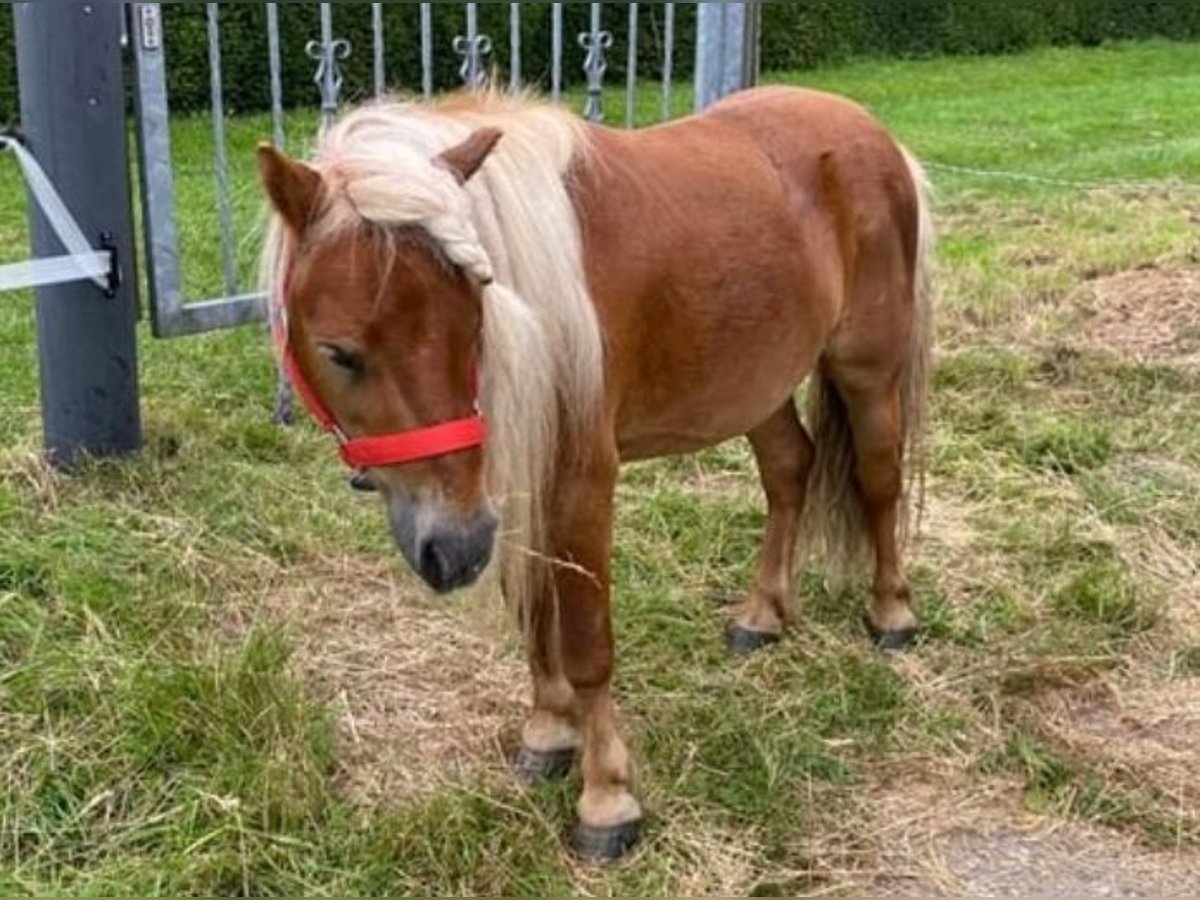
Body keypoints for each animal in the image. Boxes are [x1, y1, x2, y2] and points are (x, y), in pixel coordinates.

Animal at [260, 86, 936, 868]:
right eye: (339, 351)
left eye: (475, 323)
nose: (453, 550)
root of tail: (869, 132)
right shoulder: (514, 489)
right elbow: (534, 617)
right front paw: (548, 733)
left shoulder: (578, 485)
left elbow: (585, 644)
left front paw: (606, 797)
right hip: (756, 385)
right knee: (789, 472)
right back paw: (761, 615)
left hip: (868, 373)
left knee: (878, 480)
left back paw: (891, 614)